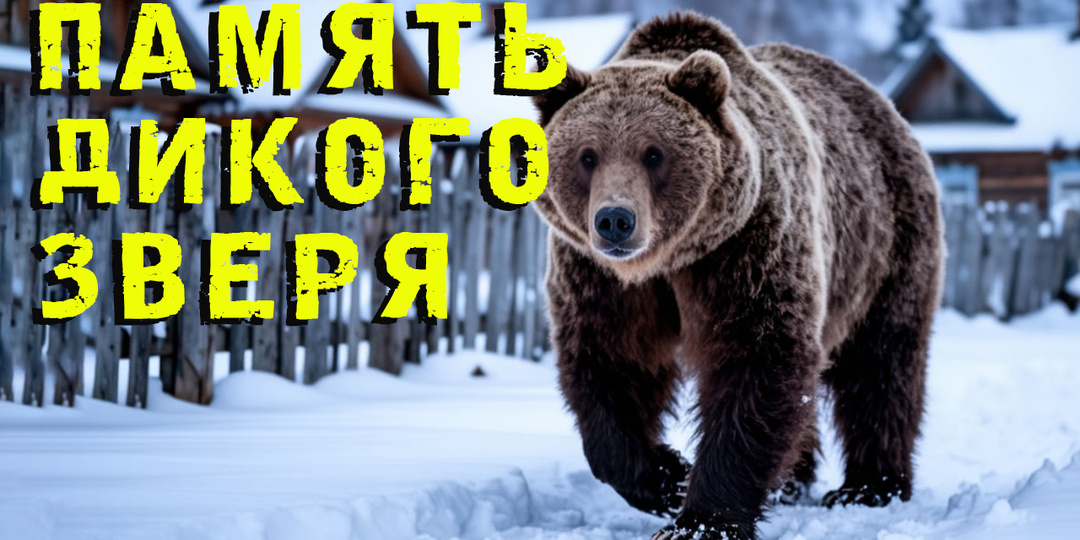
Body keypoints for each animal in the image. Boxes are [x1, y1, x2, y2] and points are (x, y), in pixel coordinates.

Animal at [530, 12, 943, 540]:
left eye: (653, 153)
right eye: (587, 155)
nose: (615, 220)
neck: (668, 263)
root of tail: (882, 105)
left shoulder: (744, 249)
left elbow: (757, 361)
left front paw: (700, 520)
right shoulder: (600, 279)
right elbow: (610, 367)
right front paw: (669, 478)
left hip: (884, 249)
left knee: (881, 366)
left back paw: (868, 488)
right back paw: (794, 480)